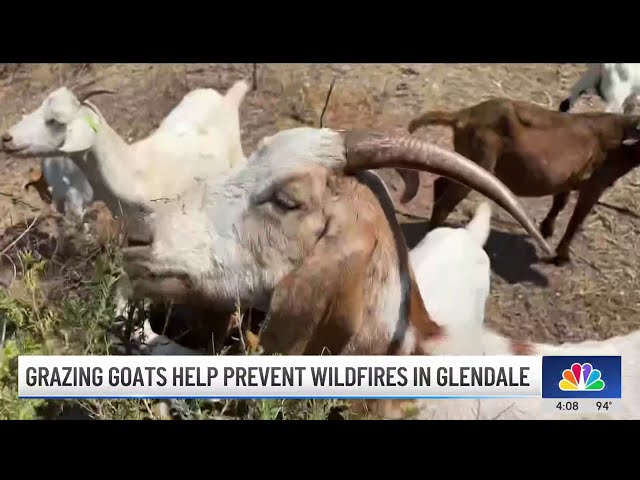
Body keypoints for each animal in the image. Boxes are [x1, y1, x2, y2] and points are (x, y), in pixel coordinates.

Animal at [402, 96, 640, 264]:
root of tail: (463, 115)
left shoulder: (569, 179)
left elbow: (560, 202)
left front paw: (546, 229)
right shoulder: (595, 183)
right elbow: (577, 219)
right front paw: (562, 256)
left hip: (465, 158)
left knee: (441, 182)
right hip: (481, 158)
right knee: (445, 201)